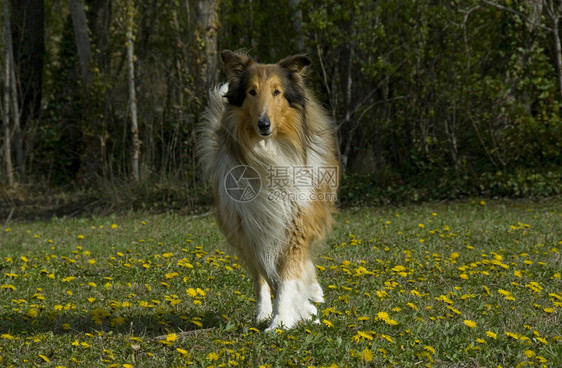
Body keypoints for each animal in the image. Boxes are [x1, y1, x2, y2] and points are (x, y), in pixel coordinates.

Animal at [197, 49, 336, 330]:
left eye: (276, 92)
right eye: (252, 92)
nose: (264, 124)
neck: (268, 154)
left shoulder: (296, 221)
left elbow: (288, 274)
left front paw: (283, 319)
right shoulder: (254, 225)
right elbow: (271, 275)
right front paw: (292, 314)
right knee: (260, 275)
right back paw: (268, 311)